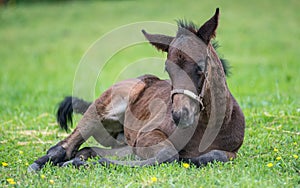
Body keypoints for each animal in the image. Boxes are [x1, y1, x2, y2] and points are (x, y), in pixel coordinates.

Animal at [28, 7, 245, 172]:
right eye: (167, 69)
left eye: (200, 67)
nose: (179, 115)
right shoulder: (147, 135)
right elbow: (169, 154)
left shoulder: (232, 151)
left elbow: (214, 155)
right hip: (101, 108)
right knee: (64, 147)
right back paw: (41, 165)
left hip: (121, 141)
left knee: (87, 149)